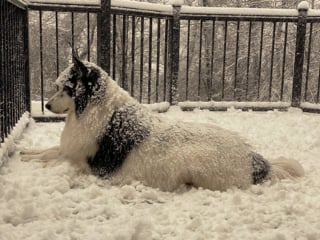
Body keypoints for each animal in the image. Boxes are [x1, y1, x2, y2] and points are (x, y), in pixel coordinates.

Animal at [20, 56, 304, 191]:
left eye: (65, 89)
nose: (47, 106)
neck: (92, 107)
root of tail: (255, 158)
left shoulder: (80, 161)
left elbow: (49, 157)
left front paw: (30, 159)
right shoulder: (69, 151)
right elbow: (47, 150)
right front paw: (25, 153)